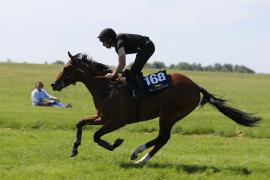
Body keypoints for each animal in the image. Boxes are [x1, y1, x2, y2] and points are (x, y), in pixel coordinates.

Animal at [51, 51, 262, 165]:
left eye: (67, 68)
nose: (54, 84)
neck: (107, 88)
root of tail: (196, 87)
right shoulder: (102, 117)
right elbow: (80, 123)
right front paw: (74, 149)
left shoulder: (117, 121)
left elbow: (96, 136)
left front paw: (114, 144)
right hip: (170, 115)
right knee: (162, 139)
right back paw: (141, 158)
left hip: (168, 114)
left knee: (163, 138)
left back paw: (137, 154)